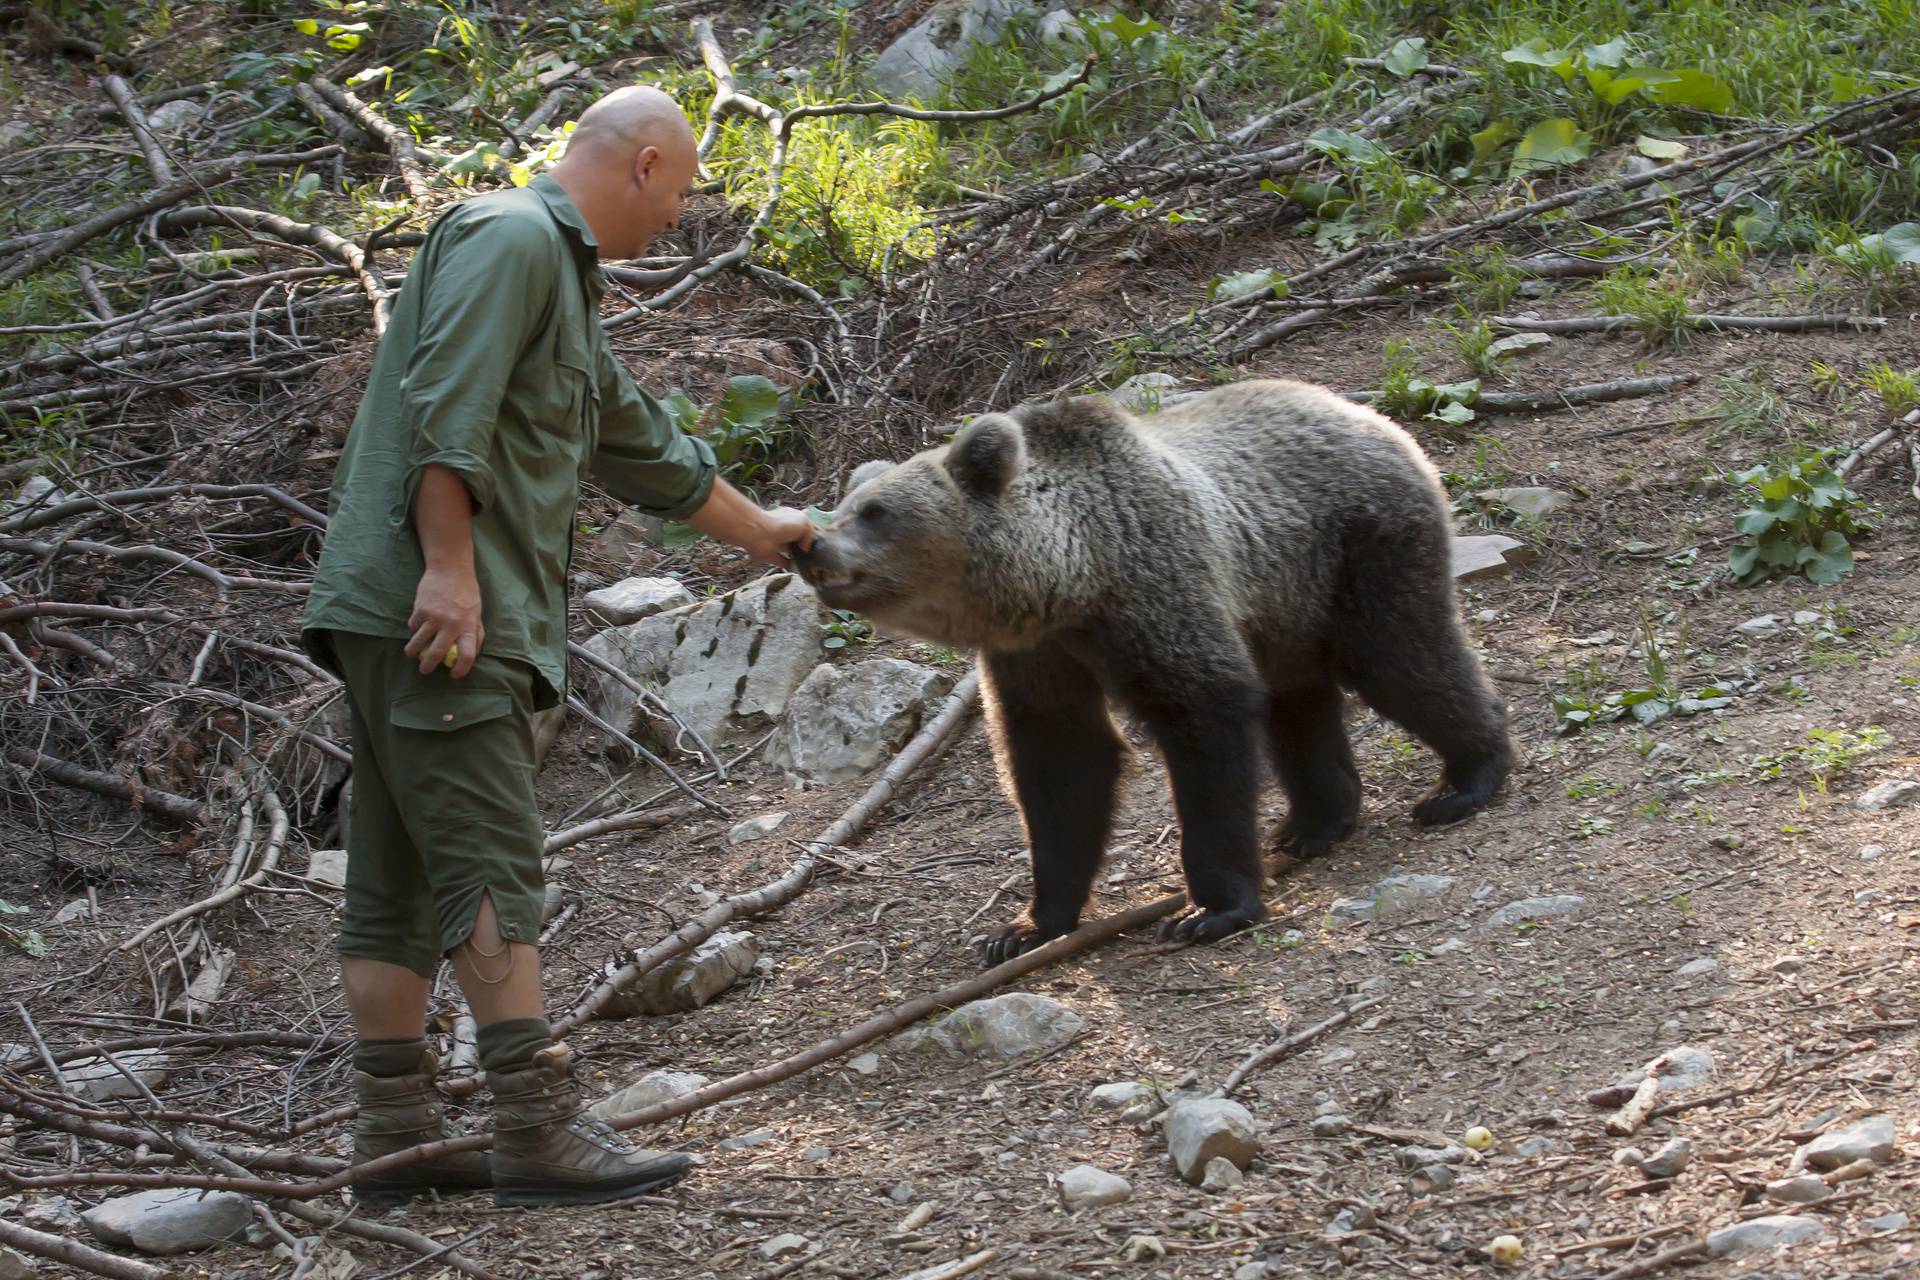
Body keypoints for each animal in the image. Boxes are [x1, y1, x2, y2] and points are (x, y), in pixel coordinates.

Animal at [794, 379, 1512, 959]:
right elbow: (1060, 764)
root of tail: (1372, 416)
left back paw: (1466, 780)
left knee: (1402, 656)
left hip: (1356, 545)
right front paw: (1024, 925)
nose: (811, 547)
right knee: (1300, 703)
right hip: (1285, 604)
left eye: (876, 511)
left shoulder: (1156, 592)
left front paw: (1209, 909)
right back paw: (1312, 825)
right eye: (845, 503)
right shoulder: (1037, 655)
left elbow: (1205, 721)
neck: (1073, 577)